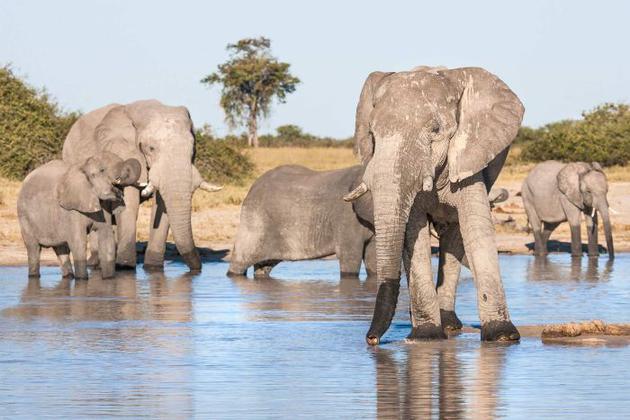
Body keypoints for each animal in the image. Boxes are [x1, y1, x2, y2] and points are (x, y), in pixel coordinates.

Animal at [60, 101, 221, 272]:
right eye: (151, 148)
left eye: (192, 149)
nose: (197, 270)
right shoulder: (123, 152)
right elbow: (129, 202)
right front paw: (125, 268)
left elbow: (162, 205)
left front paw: (152, 268)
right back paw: (95, 264)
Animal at [228, 165, 378, 278]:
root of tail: (252, 187)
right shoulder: (346, 217)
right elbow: (350, 258)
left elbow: (373, 259)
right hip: (254, 221)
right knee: (239, 262)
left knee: (263, 266)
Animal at [344, 65, 524, 344]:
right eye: (372, 135)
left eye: (436, 130)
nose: (371, 339)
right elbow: (413, 236)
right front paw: (425, 336)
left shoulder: (468, 156)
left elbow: (476, 229)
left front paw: (502, 336)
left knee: (454, 236)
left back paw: (450, 324)